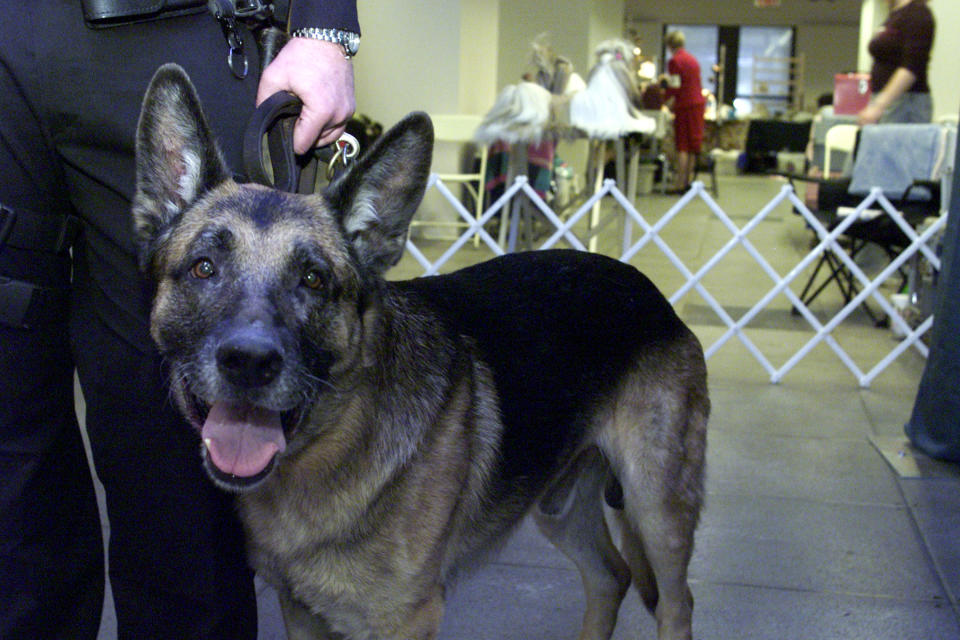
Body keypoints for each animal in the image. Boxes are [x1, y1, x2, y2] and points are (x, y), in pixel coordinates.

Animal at [131, 65, 708, 640]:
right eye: (204, 267)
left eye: (314, 280)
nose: (249, 363)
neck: (333, 445)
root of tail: (646, 289)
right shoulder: (302, 613)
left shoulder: (407, 619)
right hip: (559, 506)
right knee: (612, 575)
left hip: (657, 509)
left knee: (676, 602)